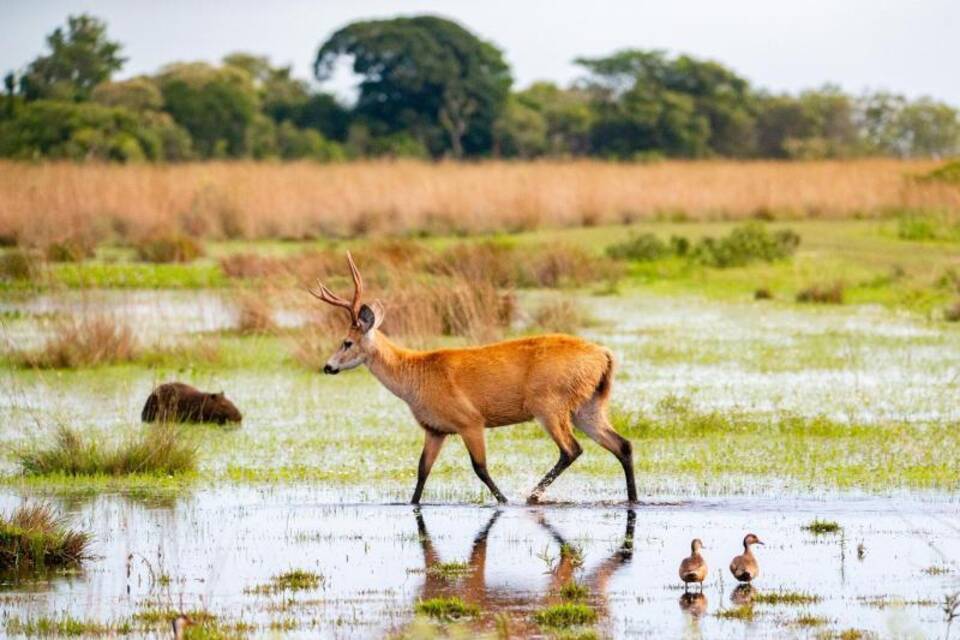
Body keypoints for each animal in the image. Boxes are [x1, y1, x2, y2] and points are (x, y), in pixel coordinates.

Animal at [310, 252, 636, 502]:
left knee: (571, 449)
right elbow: (422, 471)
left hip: (548, 405)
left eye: (346, 342)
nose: (327, 366)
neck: (415, 375)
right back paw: (632, 498)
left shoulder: (470, 421)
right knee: (622, 445)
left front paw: (503, 501)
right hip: (588, 406)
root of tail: (604, 354)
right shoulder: (435, 429)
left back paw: (531, 496)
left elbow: (480, 468)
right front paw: (411, 503)